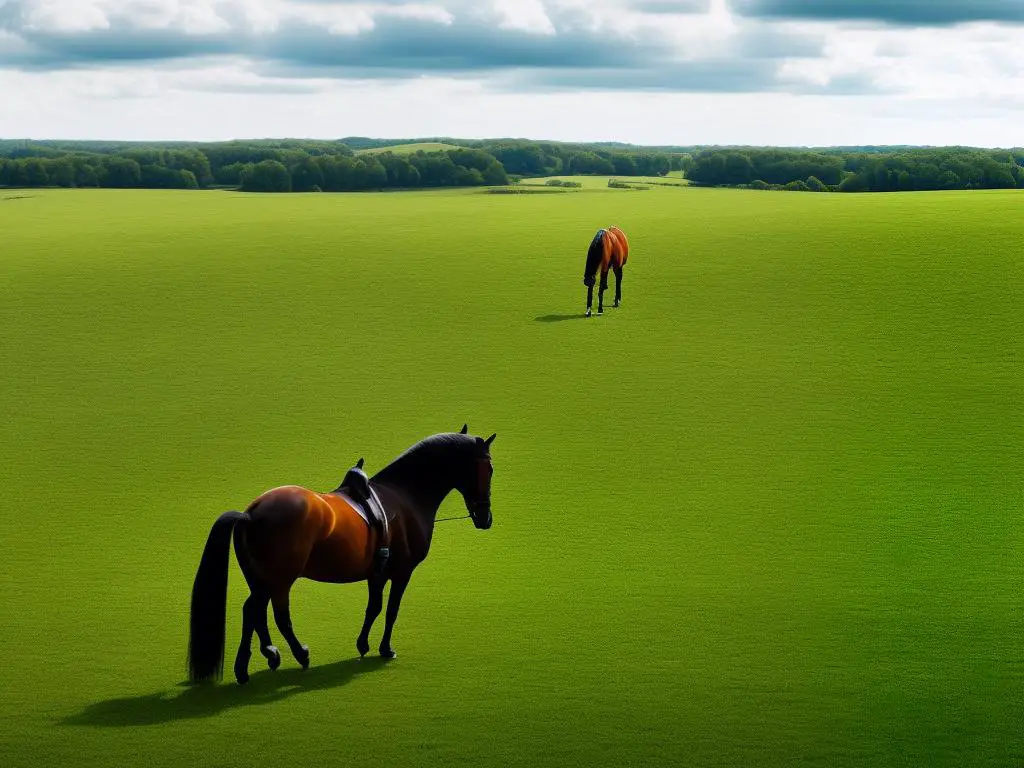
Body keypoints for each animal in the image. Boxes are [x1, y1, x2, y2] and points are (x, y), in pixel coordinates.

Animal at [192, 428, 499, 684]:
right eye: (489, 469)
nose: (485, 518)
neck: (404, 496)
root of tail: (251, 513)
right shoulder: (402, 572)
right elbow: (391, 610)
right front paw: (385, 649)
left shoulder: (377, 572)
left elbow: (374, 607)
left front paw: (363, 644)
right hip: (281, 579)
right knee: (276, 614)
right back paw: (294, 655)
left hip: (261, 578)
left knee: (253, 611)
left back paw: (265, 657)